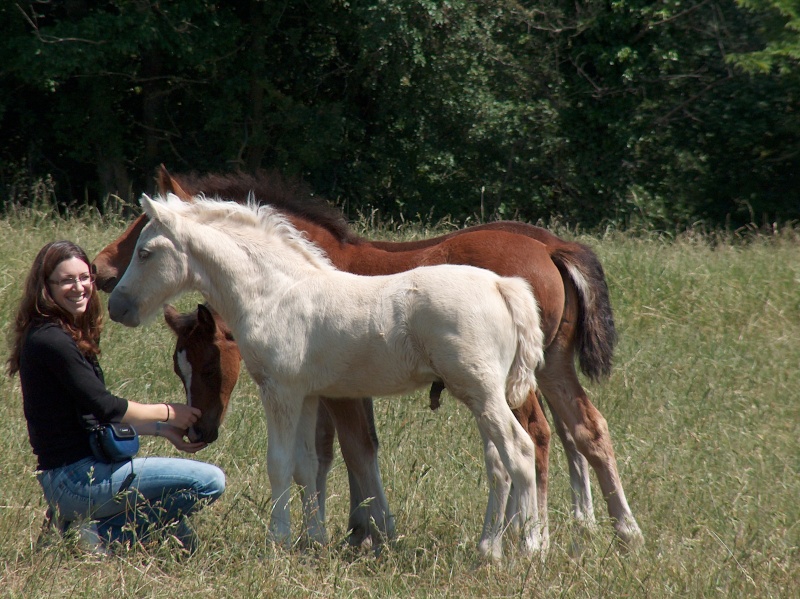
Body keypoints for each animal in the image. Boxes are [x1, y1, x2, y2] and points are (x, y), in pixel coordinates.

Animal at [94, 166, 644, 552]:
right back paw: (518, 542)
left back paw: (526, 546)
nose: (116, 302)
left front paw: (281, 541)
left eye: (144, 248)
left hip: (488, 392)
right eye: (179, 366)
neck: (279, 290)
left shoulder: (284, 392)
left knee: (524, 447)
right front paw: (315, 542)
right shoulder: (313, 394)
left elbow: (284, 463)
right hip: (511, 385)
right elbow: (309, 464)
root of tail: (506, 285)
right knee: (535, 448)